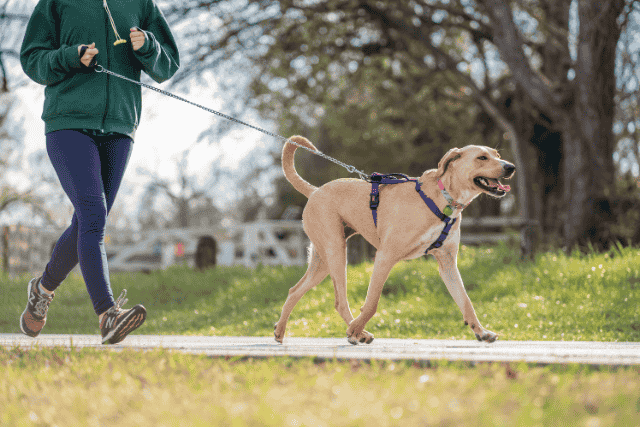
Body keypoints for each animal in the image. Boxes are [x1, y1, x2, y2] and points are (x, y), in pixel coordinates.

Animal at [276, 136, 516, 344]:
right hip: (336, 251)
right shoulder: (385, 256)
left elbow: (465, 301)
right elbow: (372, 303)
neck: (444, 199)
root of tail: (315, 191)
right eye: (482, 158)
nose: (511, 167)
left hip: (323, 261)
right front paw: (355, 329)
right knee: (339, 301)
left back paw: (280, 331)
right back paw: (357, 331)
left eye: (497, 155)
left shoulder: (447, 264)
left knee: (295, 290)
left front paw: (481, 332)